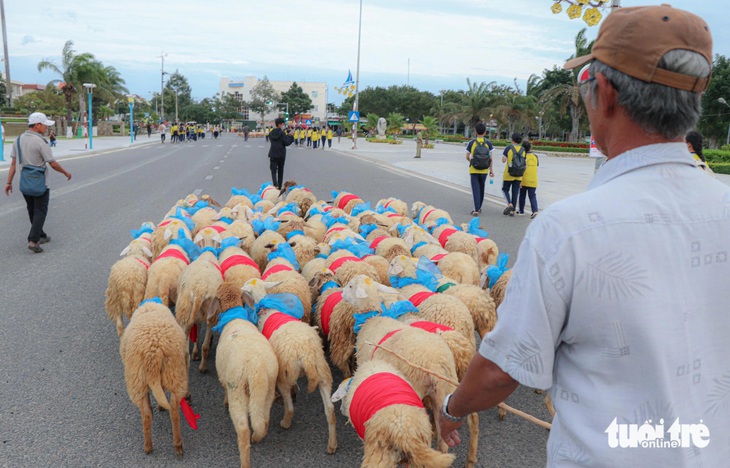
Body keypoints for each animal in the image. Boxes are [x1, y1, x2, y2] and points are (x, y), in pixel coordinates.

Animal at [119, 300, 189, 458]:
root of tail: (153, 353)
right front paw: (159, 406)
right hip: (169, 376)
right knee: (169, 411)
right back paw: (169, 445)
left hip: (139, 381)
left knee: (153, 413)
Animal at [213, 282, 278, 468]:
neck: (233, 316)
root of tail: (256, 371)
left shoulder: (224, 378)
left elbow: (224, 390)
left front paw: (224, 402)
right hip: (268, 389)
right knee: (262, 419)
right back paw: (258, 436)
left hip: (237, 390)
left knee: (243, 430)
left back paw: (245, 461)